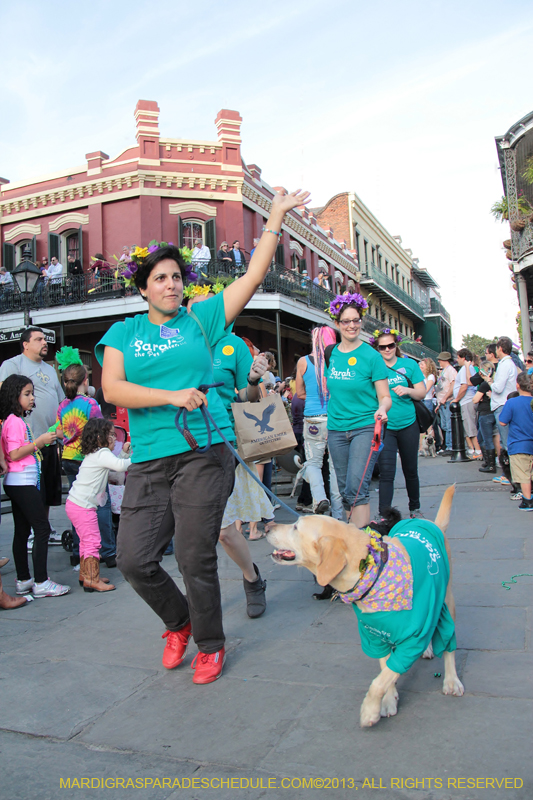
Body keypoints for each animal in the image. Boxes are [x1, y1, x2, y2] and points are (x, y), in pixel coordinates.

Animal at [268, 484, 464, 728]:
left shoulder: (412, 638)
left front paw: (369, 711)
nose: (267, 526)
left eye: (296, 527)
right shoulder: (375, 637)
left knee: (448, 643)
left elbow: (383, 678)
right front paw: (388, 701)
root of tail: (429, 523)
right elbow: (386, 670)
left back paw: (451, 680)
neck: (372, 573)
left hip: (447, 600)